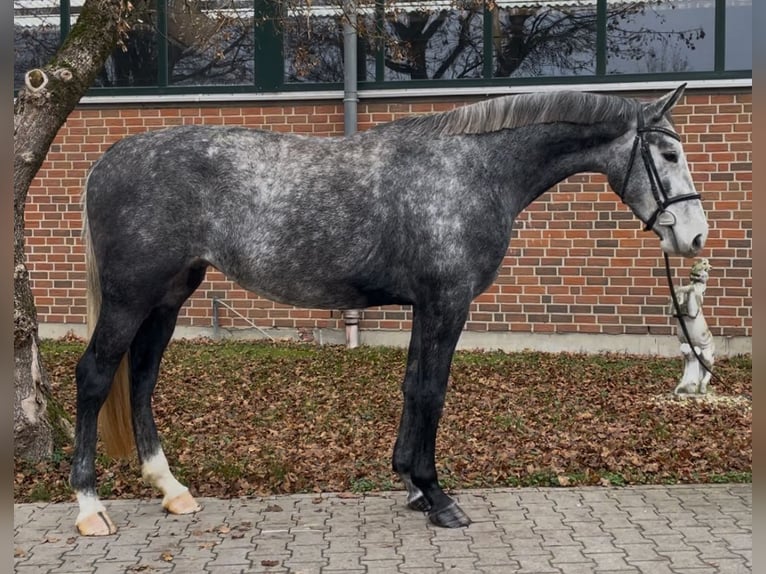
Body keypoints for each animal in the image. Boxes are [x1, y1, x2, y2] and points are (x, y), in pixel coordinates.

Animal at [71, 84, 708, 535]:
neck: (471, 169)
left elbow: (411, 386)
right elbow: (431, 390)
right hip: (131, 298)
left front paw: (412, 486)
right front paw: (438, 497)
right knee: (96, 376)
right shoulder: (446, 302)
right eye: (669, 152)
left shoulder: (426, 305)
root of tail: (105, 163)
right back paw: (89, 507)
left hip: (168, 298)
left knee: (143, 377)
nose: (696, 237)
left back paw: (171, 489)